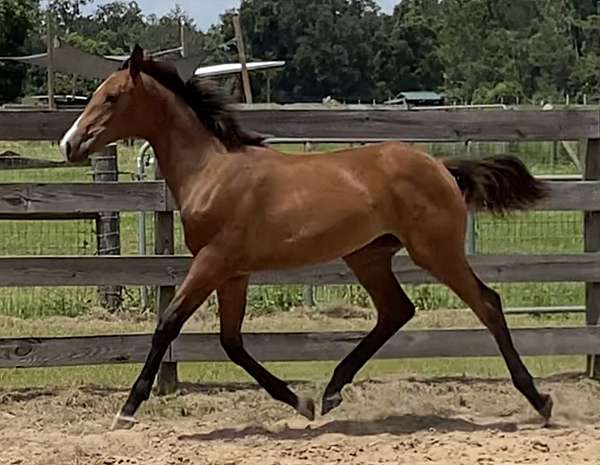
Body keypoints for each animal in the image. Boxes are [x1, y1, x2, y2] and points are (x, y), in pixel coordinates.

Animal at [61, 45, 552, 430]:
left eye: (112, 97)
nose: (69, 144)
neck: (212, 170)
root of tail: (443, 168)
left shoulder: (213, 262)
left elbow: (168, 325)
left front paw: (127, 409)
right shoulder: (234, 272)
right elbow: (231, 342)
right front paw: (301, 402)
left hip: (435, 251)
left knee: (487, 303)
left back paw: (540, 401)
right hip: (368, 256)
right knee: (396, 311)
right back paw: (332, 390)